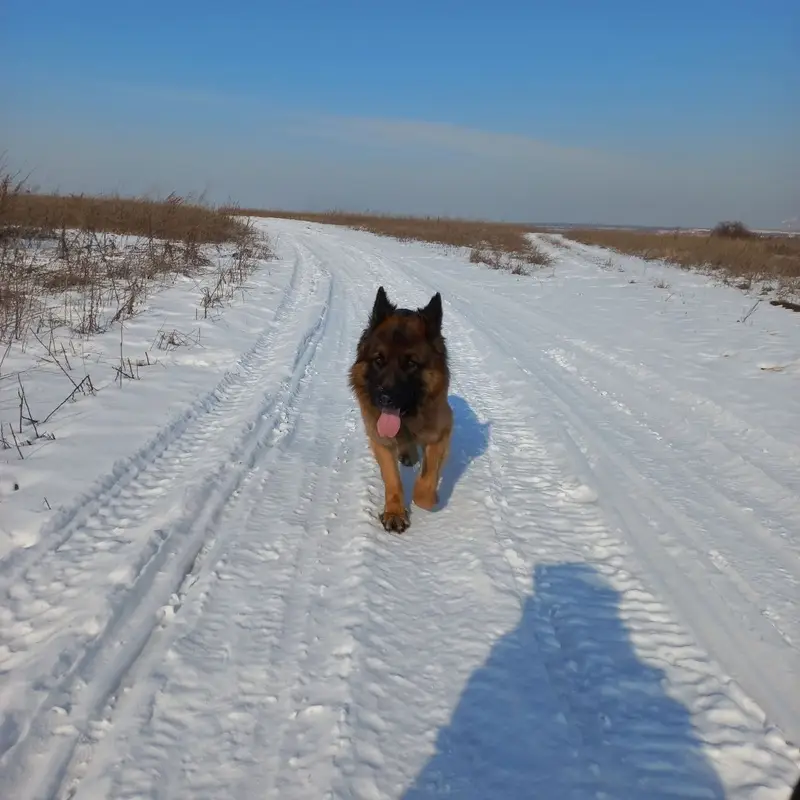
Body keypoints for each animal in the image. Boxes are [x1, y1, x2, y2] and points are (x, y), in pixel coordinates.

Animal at [349, 286, 453, 533]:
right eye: (379, 360)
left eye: (411, 364)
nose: (385, 399)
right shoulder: (379, 439)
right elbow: (392, 479)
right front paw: (394, 512)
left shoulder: (440, 433)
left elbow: (425, 486)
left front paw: (429, 497)